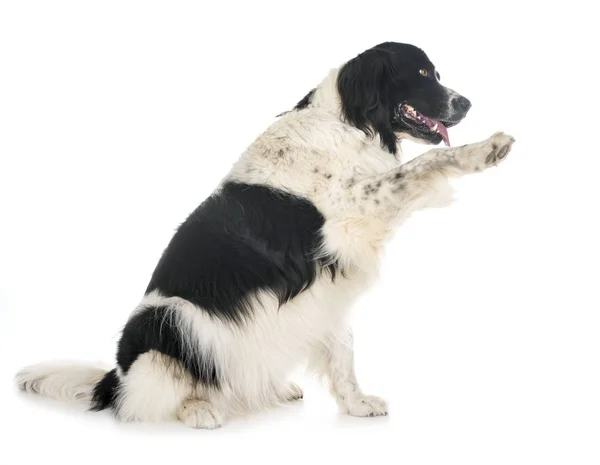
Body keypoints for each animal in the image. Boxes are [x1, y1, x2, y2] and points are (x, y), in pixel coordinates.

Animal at [17, 42, 516, 428]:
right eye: (421, 73)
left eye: (437, 73)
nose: (466, 104)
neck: (348, 121)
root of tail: (115, 378)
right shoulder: (353, 212)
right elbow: (424, 164)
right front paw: (484, 150)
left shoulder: (330, 282)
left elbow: (344, 354)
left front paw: (356, 405)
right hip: (169, 316)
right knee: (148, 399)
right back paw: (199, 410)